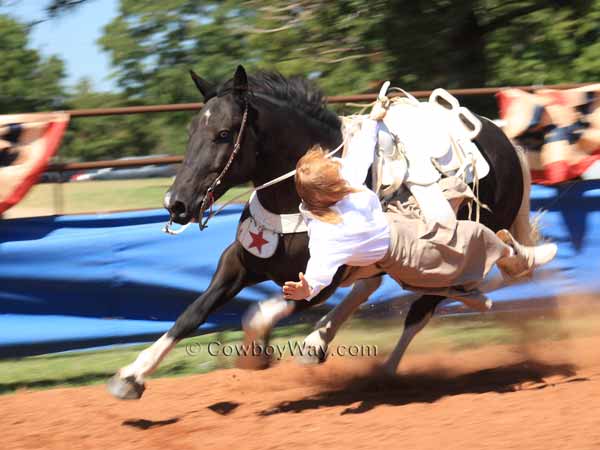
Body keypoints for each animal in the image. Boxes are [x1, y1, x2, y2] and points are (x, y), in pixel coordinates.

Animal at [108, 65, 536, 400]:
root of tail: (507, 145)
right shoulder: (239, 262)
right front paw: (131, 376)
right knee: (371, 285)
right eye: (192, 129)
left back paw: (382, 370)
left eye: (225, 133)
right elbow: (192, 314)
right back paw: (318, 344)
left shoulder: (322, 281)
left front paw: (256, 356)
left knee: (421, 308)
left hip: (455, 256)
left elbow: (259, 314)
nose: (176, 203)